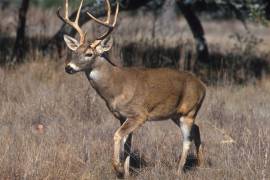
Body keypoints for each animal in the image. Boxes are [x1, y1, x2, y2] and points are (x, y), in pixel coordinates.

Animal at [57, 0, 205, 177]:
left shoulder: (139, 114)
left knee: (187, 140)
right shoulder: (122, 116)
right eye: (74, 51)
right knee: (197, 130)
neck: (116, 88)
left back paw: (178, 170)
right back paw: (201, 164)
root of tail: (203, 87)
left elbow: (117, 135)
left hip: (189, 111)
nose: (68, 67)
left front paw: (118, 168)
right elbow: (127, 145)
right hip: (176, 114)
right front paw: (126, 173)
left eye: (89, 54)